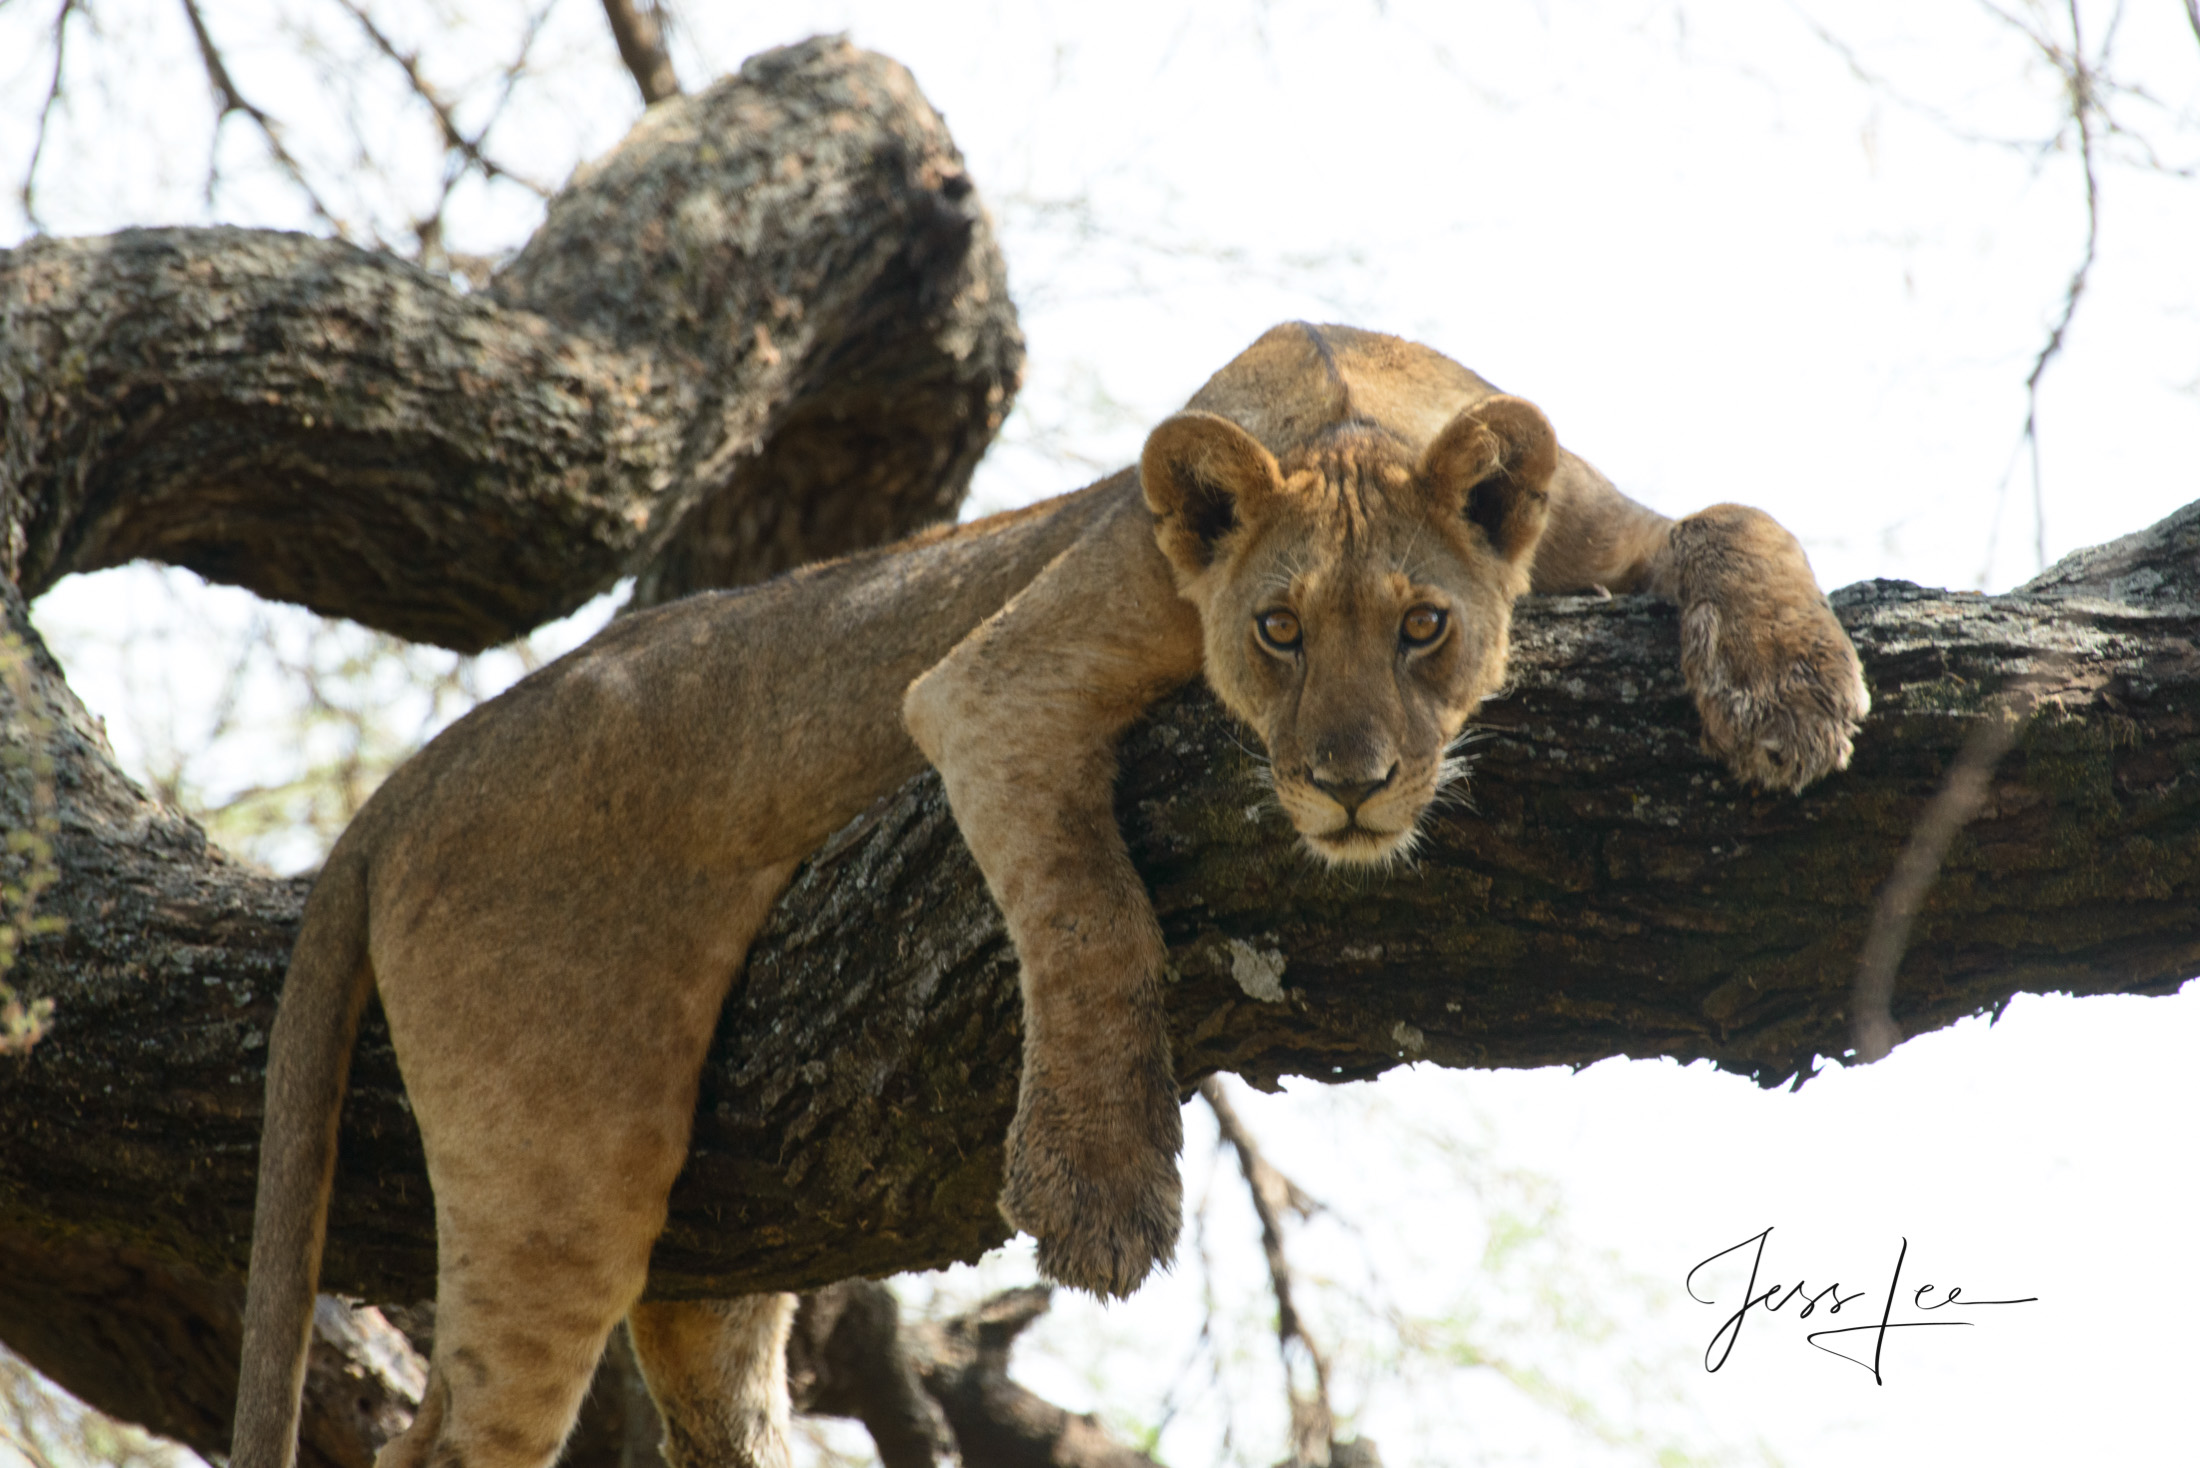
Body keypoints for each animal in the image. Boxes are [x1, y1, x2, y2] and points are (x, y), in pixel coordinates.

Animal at [232, 323, 1865, 1468]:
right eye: (1277, 629)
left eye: (1422, 626)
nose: (1349, 781)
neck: (1348, 396)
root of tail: (412, 779)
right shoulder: (993, 684)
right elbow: (1089, 909)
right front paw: (1097, 1186)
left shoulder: (1602, 530)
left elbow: (1739, 515)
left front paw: (1791, 697)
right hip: (557, 1168)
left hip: (716, 1238)